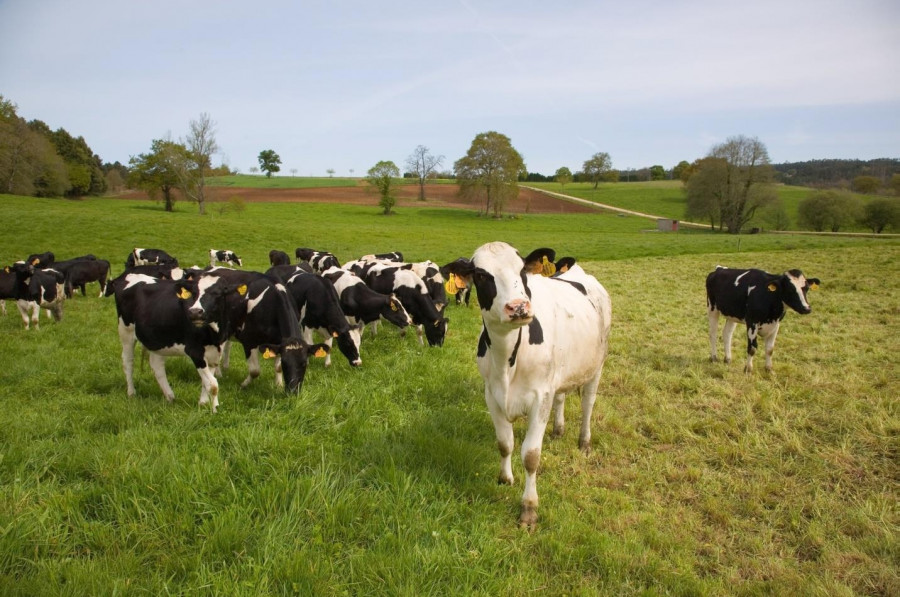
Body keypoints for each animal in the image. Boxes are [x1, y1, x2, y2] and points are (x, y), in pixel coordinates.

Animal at [112, 272, 246, 412]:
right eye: (194, 293)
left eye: (218, 293)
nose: (195, 312)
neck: (213, 334)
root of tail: (129, 275)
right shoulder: (195, 352)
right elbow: (213, 384)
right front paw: (214, 409)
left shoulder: (216, 351)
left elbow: (207, 381)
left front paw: (203, 404)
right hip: (126, 332)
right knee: (128, 362)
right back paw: (131, 393)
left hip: (157, 338)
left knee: (156, 365)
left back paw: (170, 396)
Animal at [442, 242, 612, 528]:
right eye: (481, 275)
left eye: (522, 270)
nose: (519, 307)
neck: (507, 360)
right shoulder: (492, 395)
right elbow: (504, 443)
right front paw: (505, 479)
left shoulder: (540, 397)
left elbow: (531, 455)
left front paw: (529, 508)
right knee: (561, 397)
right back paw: (558, 430)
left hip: (596, 365)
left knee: (588, 403)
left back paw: (584, 441)